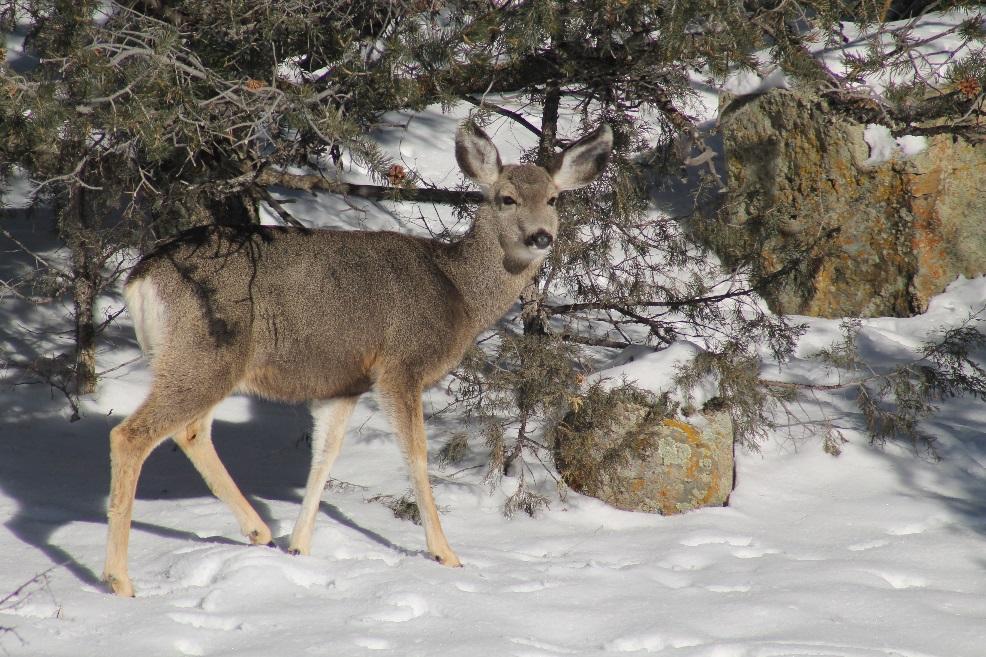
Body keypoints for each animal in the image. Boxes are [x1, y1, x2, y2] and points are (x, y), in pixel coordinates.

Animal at [100, 120, 608, 596]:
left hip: (197, 360)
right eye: (506, 198)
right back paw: (120, 579)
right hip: (206, 352)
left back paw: (259, 532)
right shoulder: (400, 365)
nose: (541, 236)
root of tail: (141, 277)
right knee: (131, 435)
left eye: (555, 199)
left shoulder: (342, 383)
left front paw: (299, 547)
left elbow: (324, 458)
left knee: (191, 431)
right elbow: (416, 455)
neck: (459, 293)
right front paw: (445, 553)